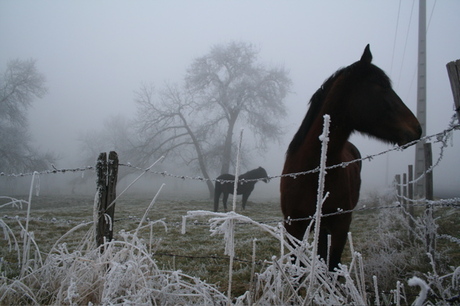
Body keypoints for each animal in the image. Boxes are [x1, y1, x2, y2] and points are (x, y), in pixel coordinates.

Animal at [280, 44, 420, 270]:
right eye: (381, 87)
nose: (417, 128)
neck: (315, 173)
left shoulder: (341, 226)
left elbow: (332, 267)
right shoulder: (294, 226)